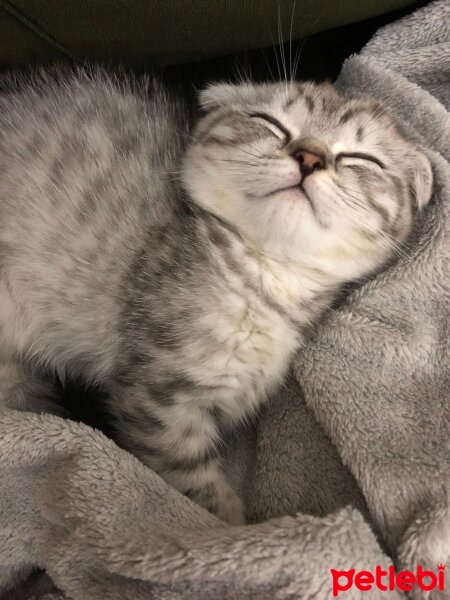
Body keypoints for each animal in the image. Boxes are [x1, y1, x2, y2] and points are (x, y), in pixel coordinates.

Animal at [0, 70, 432, 524]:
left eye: (362, 159)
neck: (264, 276)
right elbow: (194, 485)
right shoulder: (157, 394)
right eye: (269, 123)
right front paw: (230, 526)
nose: (309, 157)